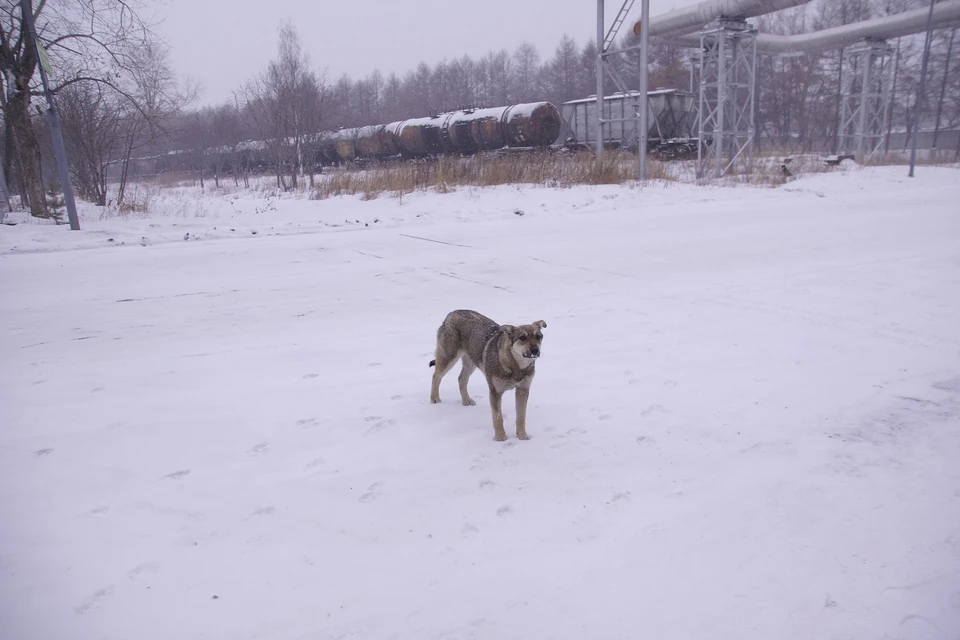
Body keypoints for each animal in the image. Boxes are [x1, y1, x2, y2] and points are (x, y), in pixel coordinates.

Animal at [430, 308, 548, 440]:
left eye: (538, 337)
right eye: (522, 338)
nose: (535, 351)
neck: (515, 366)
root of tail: (451, 314)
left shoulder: (523, 390)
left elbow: (521, 416)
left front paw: (522, 436)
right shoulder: (495, 391)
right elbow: (497, 417)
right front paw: (500, 437)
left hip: (471, 362)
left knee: (461, 379)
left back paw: (466, 400)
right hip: (448, 358)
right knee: (436, 376)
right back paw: (434, 398)